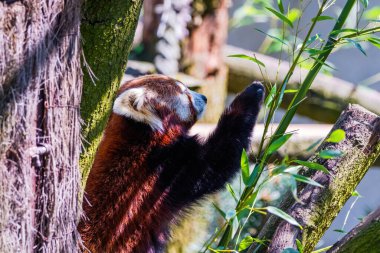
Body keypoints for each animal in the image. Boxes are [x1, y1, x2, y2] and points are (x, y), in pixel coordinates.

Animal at [78, 74, 262, 252]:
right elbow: (219, 159)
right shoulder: (161, 172)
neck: (140, 136)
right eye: (184, 92)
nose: (204, 97)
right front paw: (252, 94)